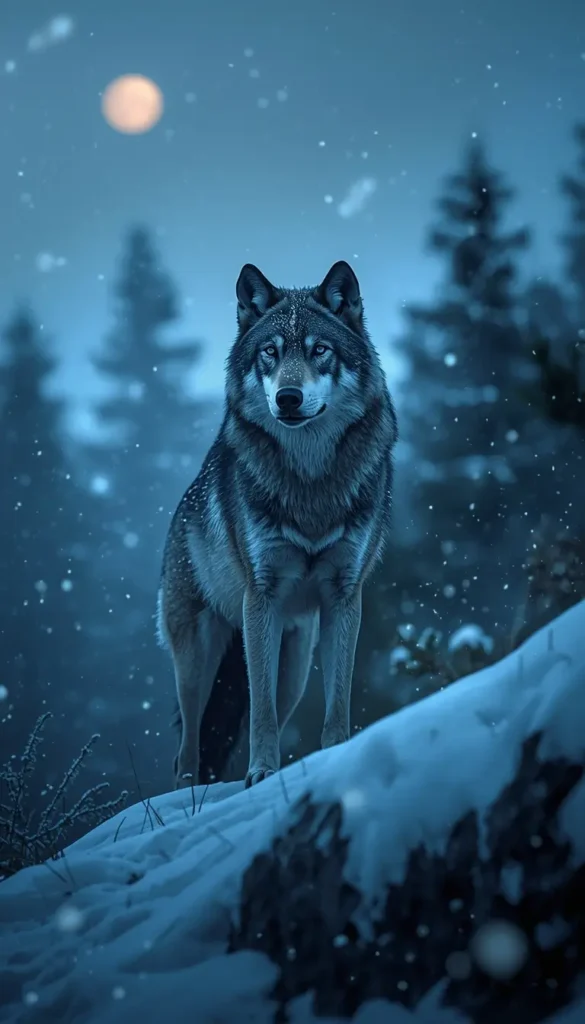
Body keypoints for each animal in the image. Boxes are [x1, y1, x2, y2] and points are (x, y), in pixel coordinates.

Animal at [157, 260, 398, 788]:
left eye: (319, 350)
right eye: (270, 353)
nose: (288, 397)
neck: (310, 483)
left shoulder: (345, 597)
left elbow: (338, 704)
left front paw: (336, 760)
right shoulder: (260, 597)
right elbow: (260, 713)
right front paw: (262, 773)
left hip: (295, 666)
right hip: (197, 660)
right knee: (187, 752)